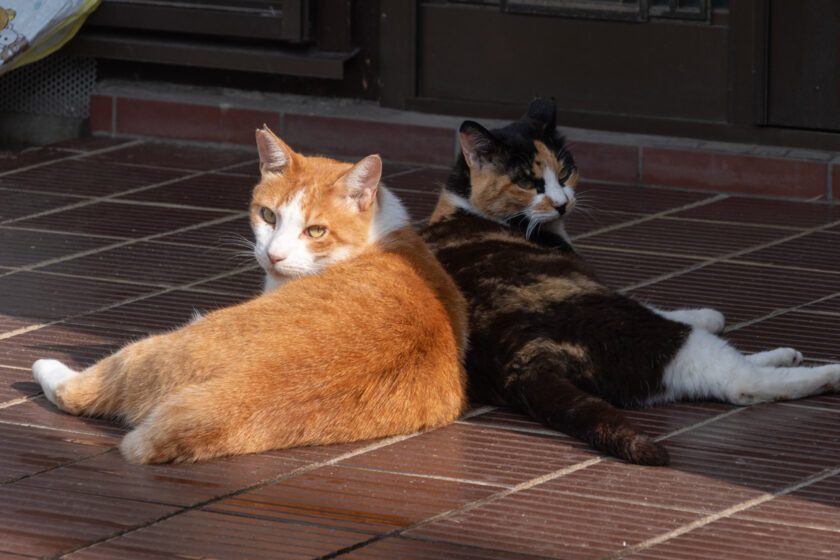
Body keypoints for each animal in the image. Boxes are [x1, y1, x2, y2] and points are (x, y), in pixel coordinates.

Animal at [31, 127, 466, 464]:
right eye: (268, 216)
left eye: (316, 231)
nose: (273, 255)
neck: (374, 240)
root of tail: (230, 399)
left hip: (159, 347)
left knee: (82, 387)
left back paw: (46, 369)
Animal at [424, 98, 840, 466]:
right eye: (527, 182)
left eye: (564, 173)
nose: (561, 202)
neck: (465, 206)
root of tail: (521, 362)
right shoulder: (595, 283)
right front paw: (710, 315)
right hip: (636, 330)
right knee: (739, 382)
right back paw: (825, 373)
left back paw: (784, 356)